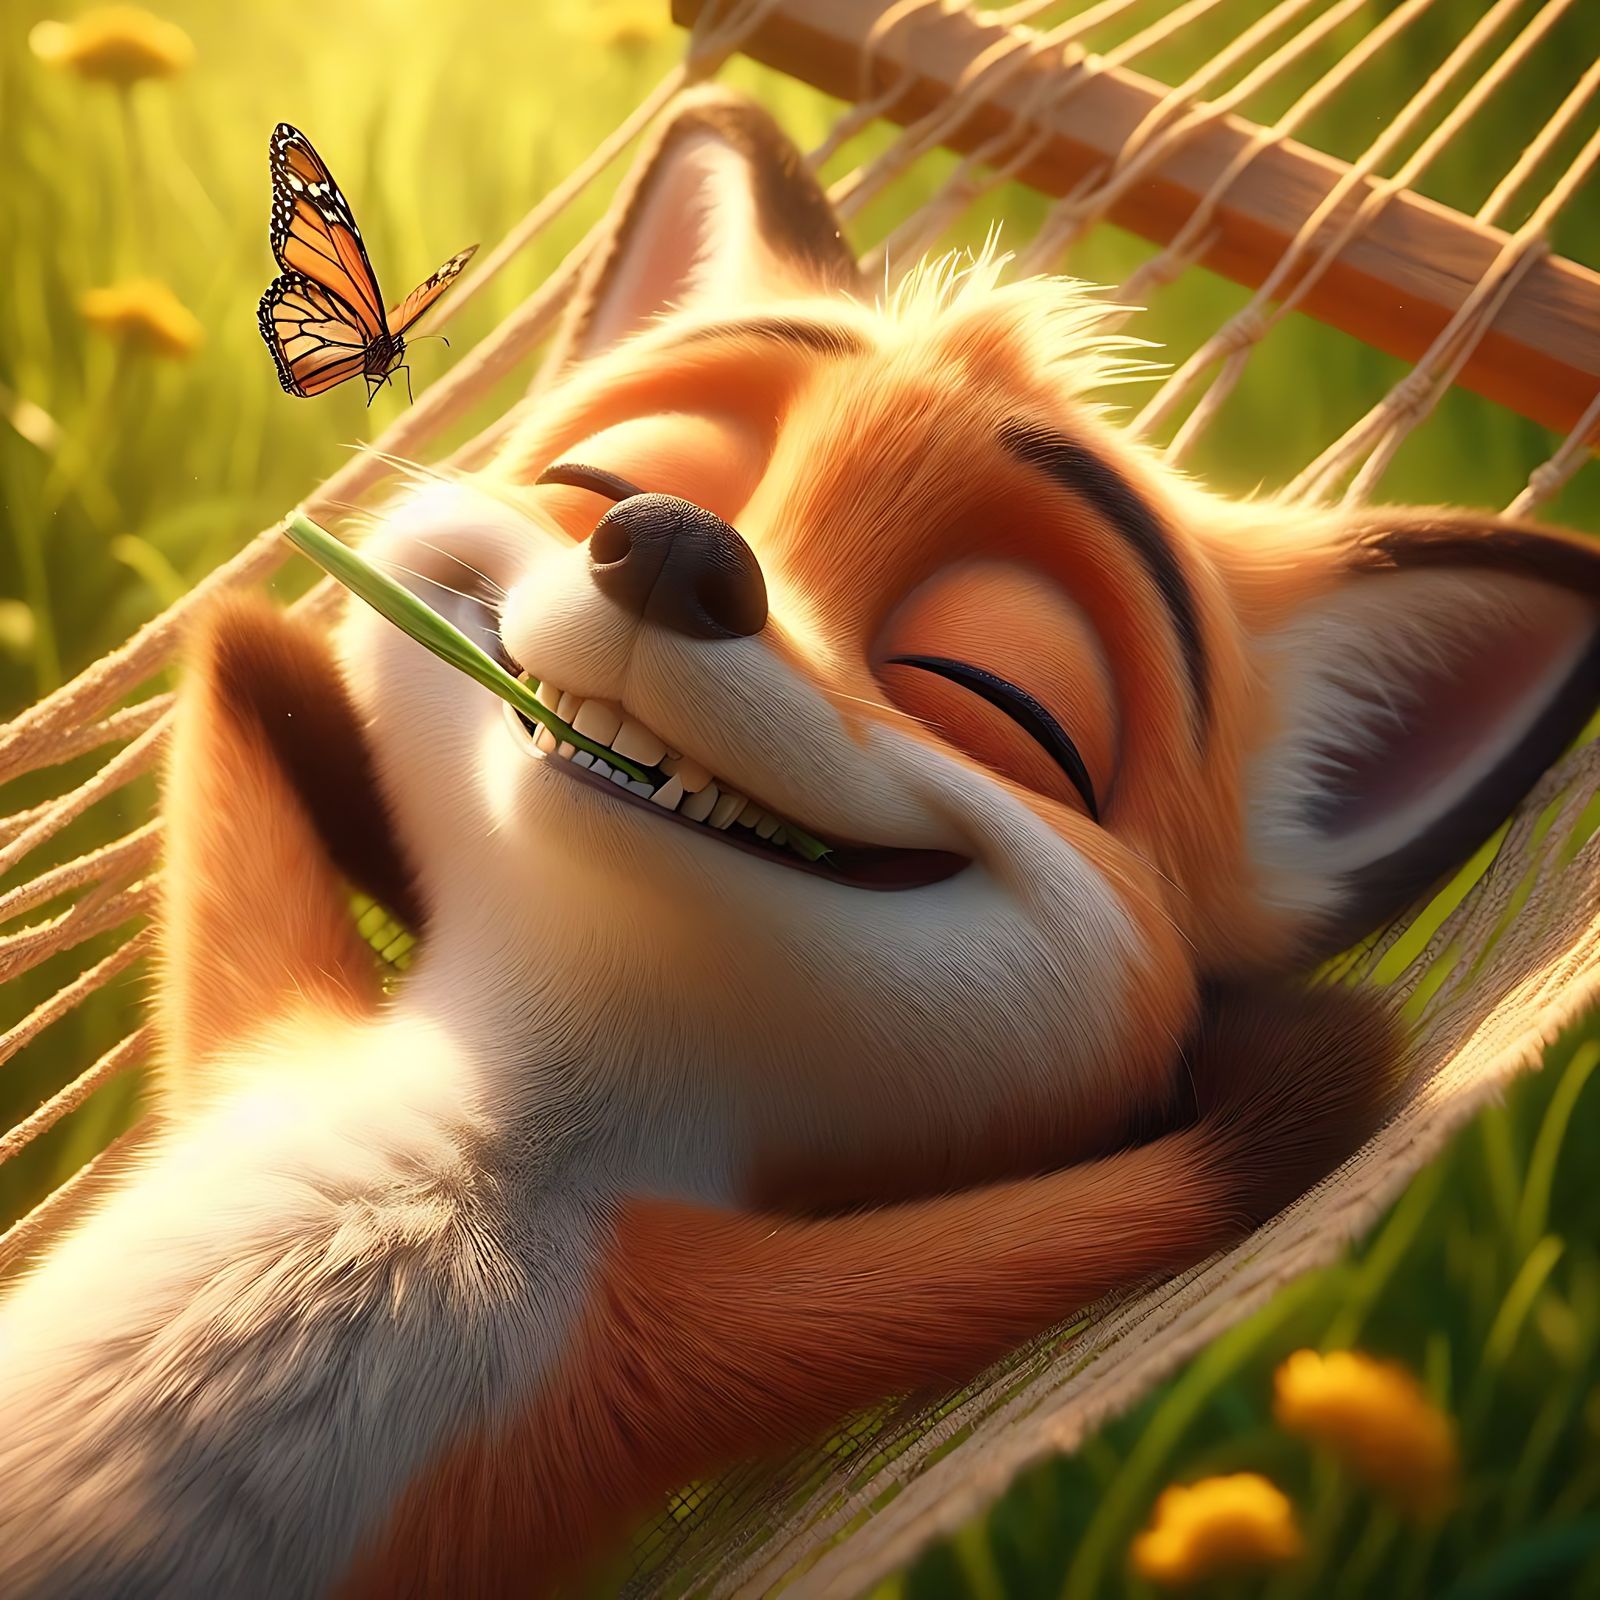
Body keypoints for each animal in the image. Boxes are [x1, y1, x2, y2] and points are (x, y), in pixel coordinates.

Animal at [2, 87, 1597, 1598]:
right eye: (601, 482)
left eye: (995, 693)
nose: (674, 544)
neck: (474, 1142)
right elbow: (241, 651)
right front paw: (316, 717)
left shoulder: (657, 1329)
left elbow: (1202, 1159)